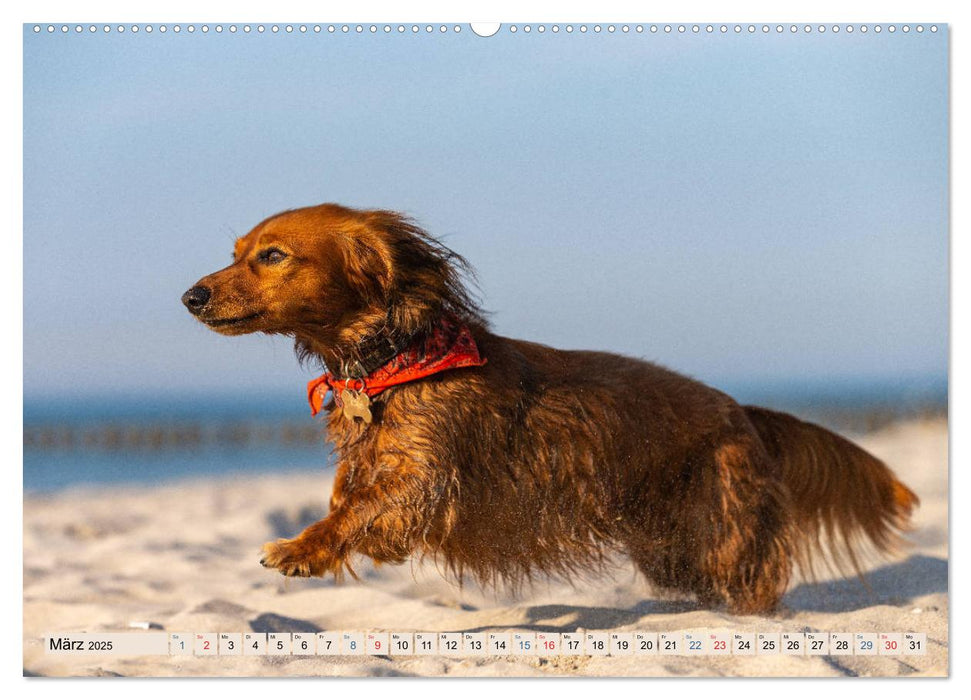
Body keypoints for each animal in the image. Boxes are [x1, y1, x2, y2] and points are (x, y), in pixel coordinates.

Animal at [182, 202, 920, 612]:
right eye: (236, 253)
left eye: (272, 255)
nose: (190, 296)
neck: (397, 362)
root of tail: (742, 410)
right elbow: (347, 496)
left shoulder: (429, 480)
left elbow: (358, 512)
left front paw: (301, 549)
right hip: (671, 549)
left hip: (723, 535)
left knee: (754, 586)